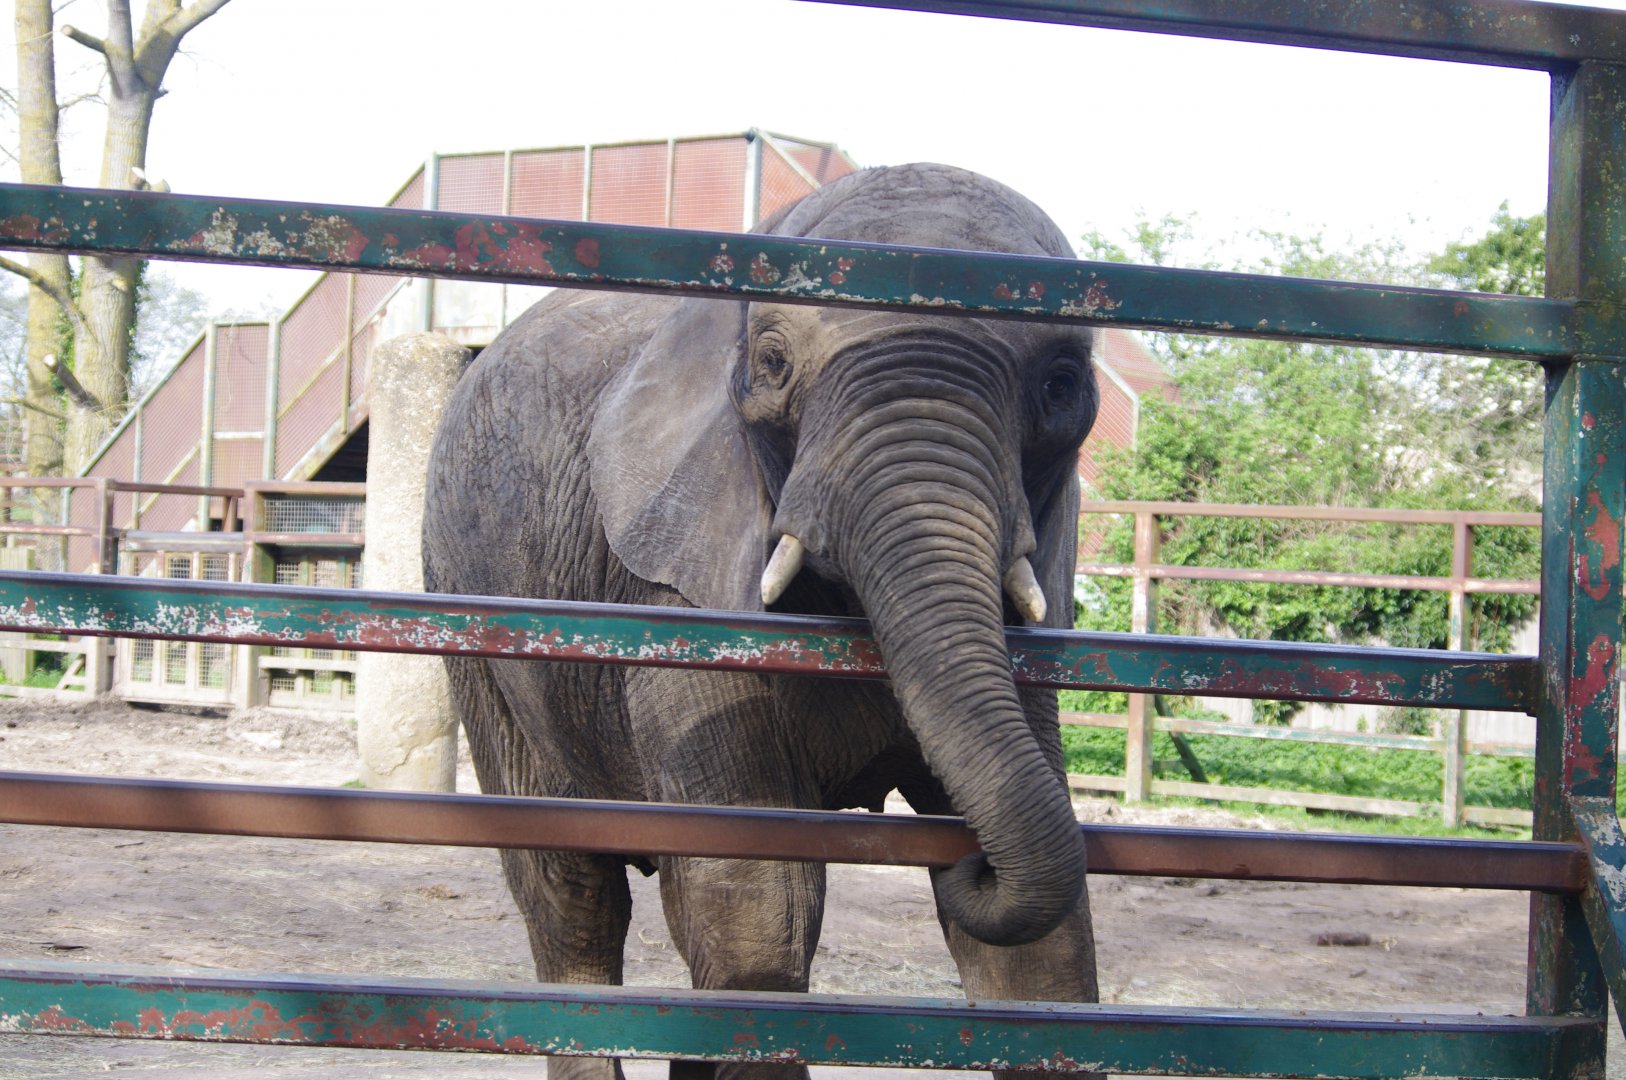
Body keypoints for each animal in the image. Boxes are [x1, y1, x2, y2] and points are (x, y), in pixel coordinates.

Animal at [422, 162, 1102, 1080]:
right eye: (774, 363)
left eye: (1062, 385)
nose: (972, 867)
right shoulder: (677, 602)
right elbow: (758, 903)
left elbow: (1043, 957)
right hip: (462, 600)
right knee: (572, 895)